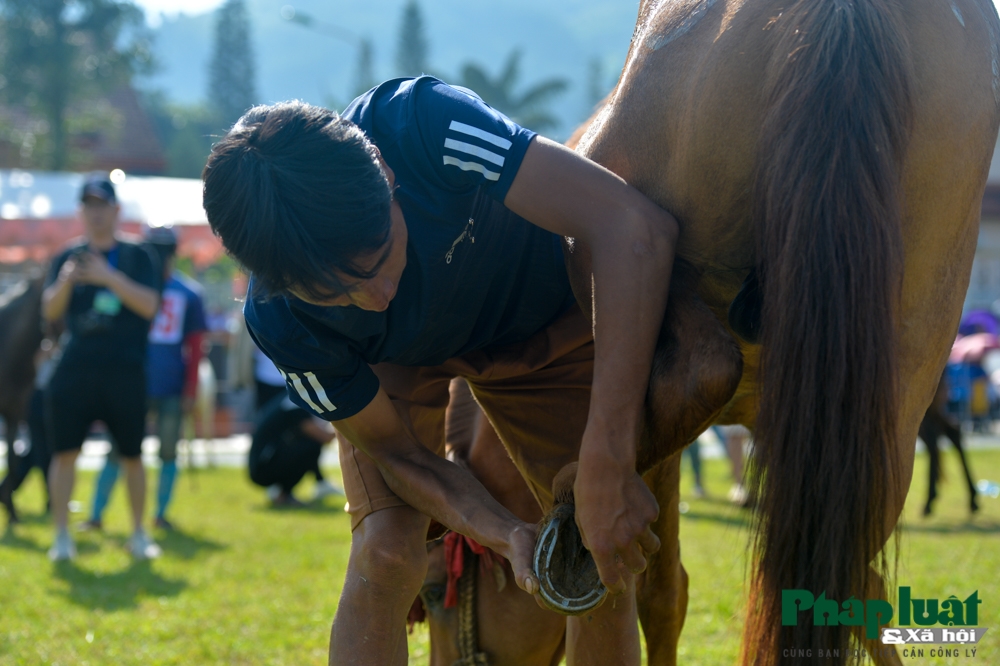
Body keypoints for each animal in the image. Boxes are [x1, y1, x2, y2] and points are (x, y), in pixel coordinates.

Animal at [536, 0, 1000, 660]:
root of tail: (846, 12)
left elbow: (664, 591)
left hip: (618, 243)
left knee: (699, 370)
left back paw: (581, 497)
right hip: (901, 370)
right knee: (850, 561)